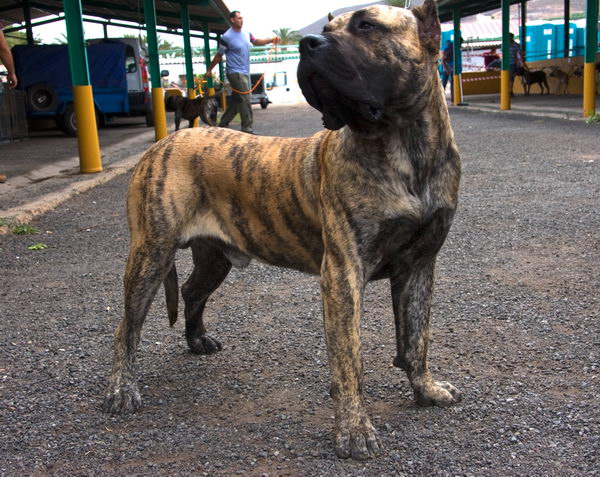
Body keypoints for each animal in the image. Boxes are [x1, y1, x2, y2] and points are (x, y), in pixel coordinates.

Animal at [103, 0, 462, 462]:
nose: (308, 43)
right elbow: (350, 360)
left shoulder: (419, 266)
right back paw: (121, 389)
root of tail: (162, 144)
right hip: (150, 256)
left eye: (367, 25)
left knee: (191, 291)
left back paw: (197, 339)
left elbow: (416, 340)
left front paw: (427, 390)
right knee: (126, 329)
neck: (405, 147)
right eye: (327, 27)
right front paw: (354, 429)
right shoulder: (343, 276)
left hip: (213, 257)